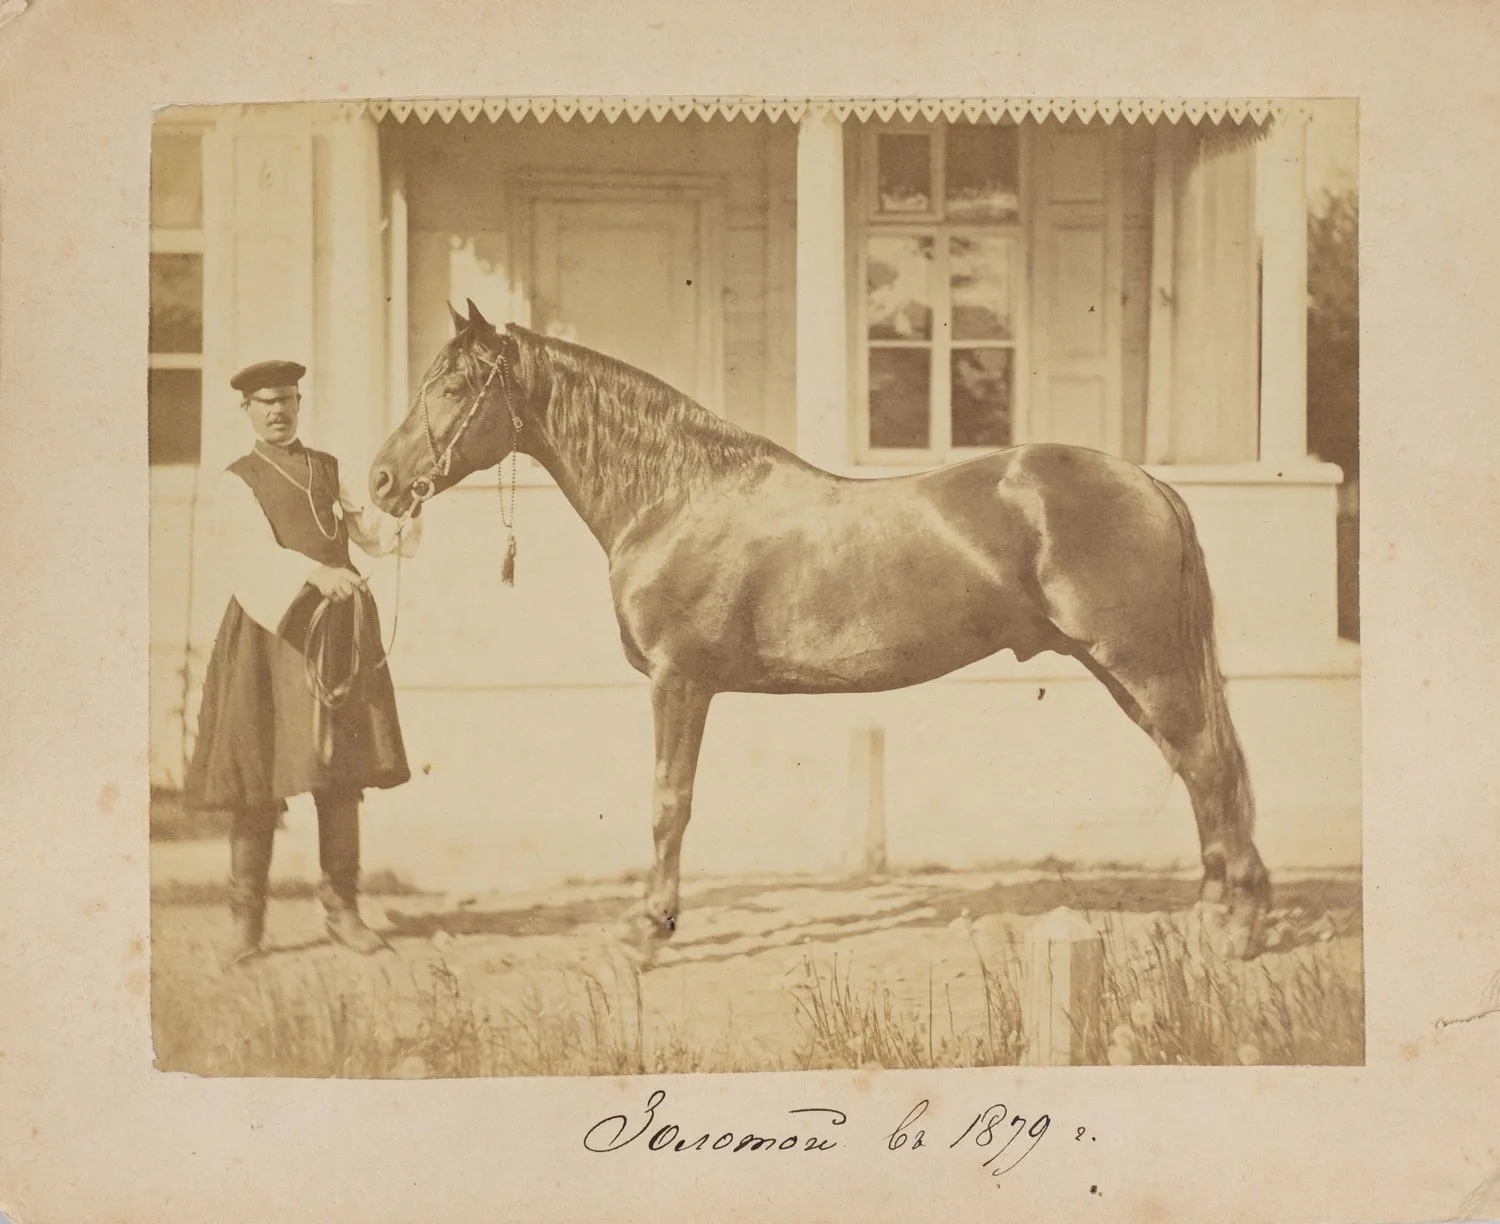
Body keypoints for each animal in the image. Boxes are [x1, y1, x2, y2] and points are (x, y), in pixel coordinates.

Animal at [370, 299, 1271, 962]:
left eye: (455, 386)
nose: (380, 480)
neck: (674, 496)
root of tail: (1151, 483)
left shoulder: (678, 682)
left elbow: (669, 802)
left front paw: (648, 931)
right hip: (1127, 674)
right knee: (1199, 771)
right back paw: (1215, 914)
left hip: (1145, 666)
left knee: (1209, 767)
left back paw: (1235, 929)